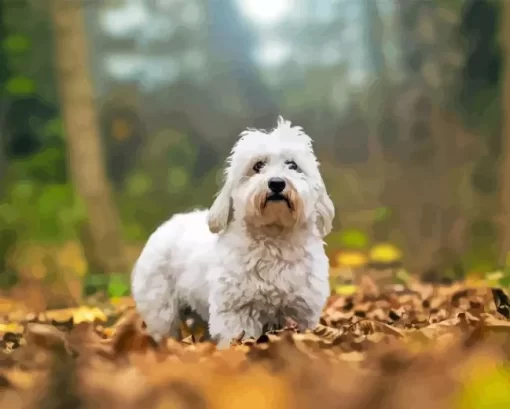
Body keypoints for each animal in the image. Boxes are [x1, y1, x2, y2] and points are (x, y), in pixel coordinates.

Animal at [131, 117, 334, 348]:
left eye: (292, 165)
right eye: (257, 166)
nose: (276, 183)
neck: (274, 236)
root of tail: (164, 226)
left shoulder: (302, 311)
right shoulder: (237, 313)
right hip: (162, 310)